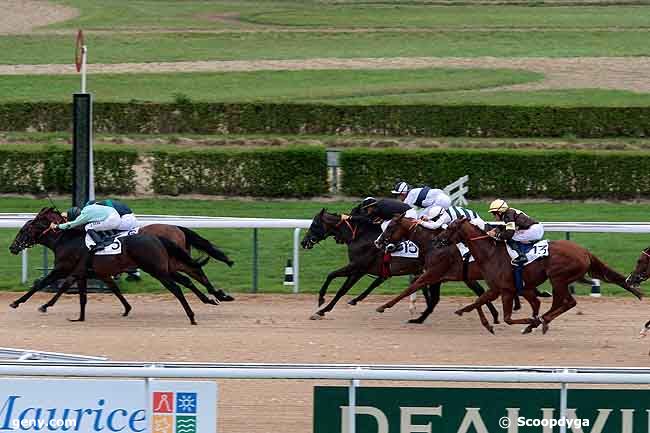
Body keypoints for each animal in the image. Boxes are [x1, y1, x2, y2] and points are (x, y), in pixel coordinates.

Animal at [8, 208, 215, 322]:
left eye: (24, 229)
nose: (12, 247)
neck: (65, 240)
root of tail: (158, 237)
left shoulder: (64, 269)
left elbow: (42, 284)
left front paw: (23, 303)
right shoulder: (91, 273)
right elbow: (108, 290)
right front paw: (126, 308)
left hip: (158, 269)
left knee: (181, 284)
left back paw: (195, 312)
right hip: (163, 267)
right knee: (187, 279)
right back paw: (211, 298)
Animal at [300, 208, 496, 322]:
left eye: (315, 224)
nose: (304, 242)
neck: (361, 235)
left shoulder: (358, 267)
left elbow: (336, 282)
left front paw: (322, 306)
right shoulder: (363, 269)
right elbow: (342, 283)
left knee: (478, 290)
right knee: (477, 291)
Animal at [432, 219, 640, 334]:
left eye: (450, 227)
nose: (436, 240)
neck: (490, 253)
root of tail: (584, 252)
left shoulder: (503, 289)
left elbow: (502, 315)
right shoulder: (502, 289)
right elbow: (478, 302)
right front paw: (483, 322)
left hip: (558, 279)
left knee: (567, 302)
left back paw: (540, 321)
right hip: (557, 280)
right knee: (561, 303)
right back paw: (540, 322)